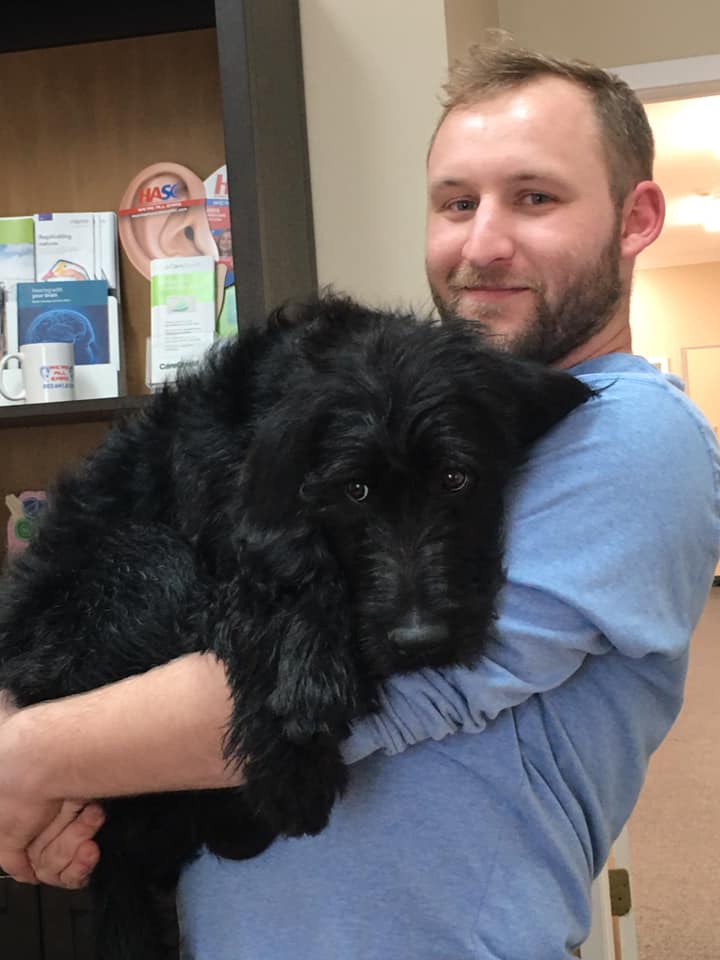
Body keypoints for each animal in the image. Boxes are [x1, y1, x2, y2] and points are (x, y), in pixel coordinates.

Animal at [0, 296, 592, 956]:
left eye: (455, 478)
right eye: (355, 491)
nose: (418, 642)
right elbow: (278, 569)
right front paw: (299, 730)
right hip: (131, 577)